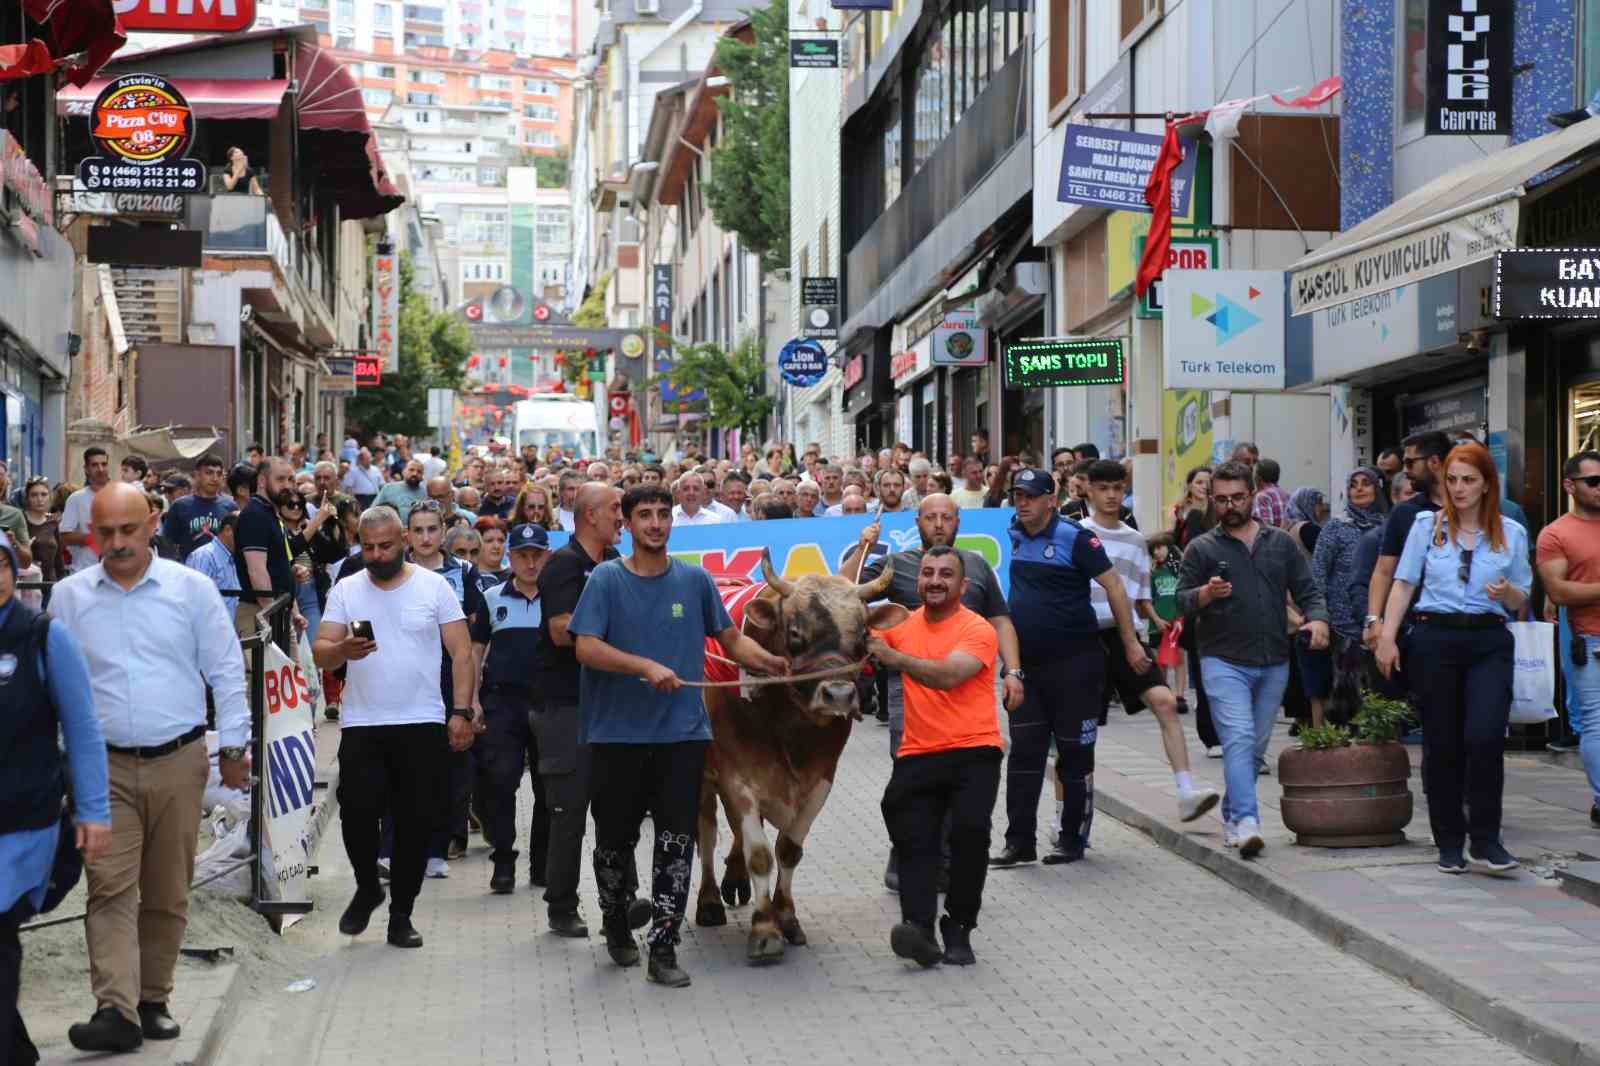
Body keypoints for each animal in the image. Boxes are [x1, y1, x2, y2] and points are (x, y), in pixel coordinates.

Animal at [694, 550, 908, 960]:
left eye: (862, 634)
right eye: (795, 633)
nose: (839, 695)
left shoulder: (820, 780)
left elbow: (788, 850)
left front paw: (786, 918)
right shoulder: (738, 778)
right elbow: (760, 854)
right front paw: (765, 927)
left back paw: (734, 879)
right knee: (707, 833)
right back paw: (709, 900)